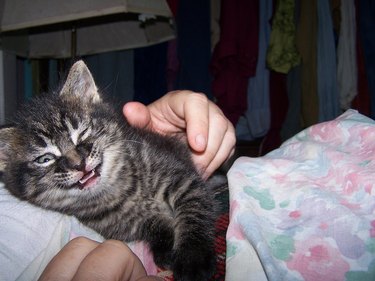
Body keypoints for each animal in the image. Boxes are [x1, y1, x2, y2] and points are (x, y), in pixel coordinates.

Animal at [0, 61, 226, 280]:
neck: (121, 190)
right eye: (45, 159)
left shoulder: (182, 179)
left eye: (82, 133)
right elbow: (153, 225)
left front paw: (193, 259)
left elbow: (194, 212)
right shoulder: (120, 223)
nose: (78, 164)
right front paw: (164, 246)